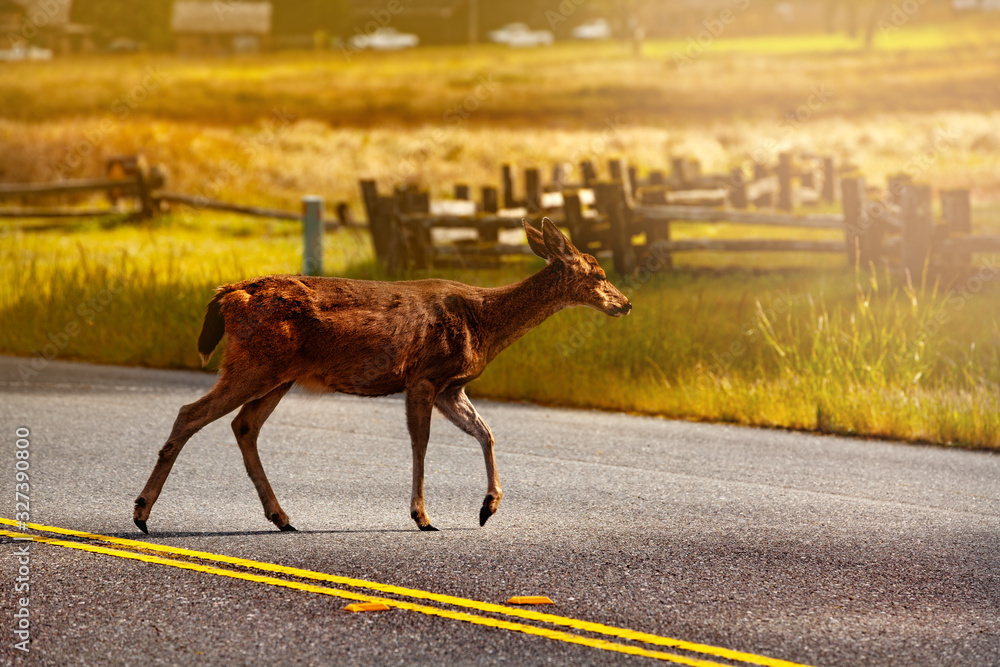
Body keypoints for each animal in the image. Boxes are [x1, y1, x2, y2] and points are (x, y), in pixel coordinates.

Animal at [134, 217, 632, 536]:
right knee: (191, 413)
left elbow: (486, 433)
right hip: (255, 363)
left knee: (244, 425)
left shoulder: (452, 386)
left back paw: (281, 517)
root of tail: (228, 294)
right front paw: (422, 517)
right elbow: (421, 444)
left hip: (279, 374)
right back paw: (141, 513)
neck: (485, 322)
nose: (625, 304)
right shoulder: (425, 376)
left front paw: (487, 508)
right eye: (599, 274)